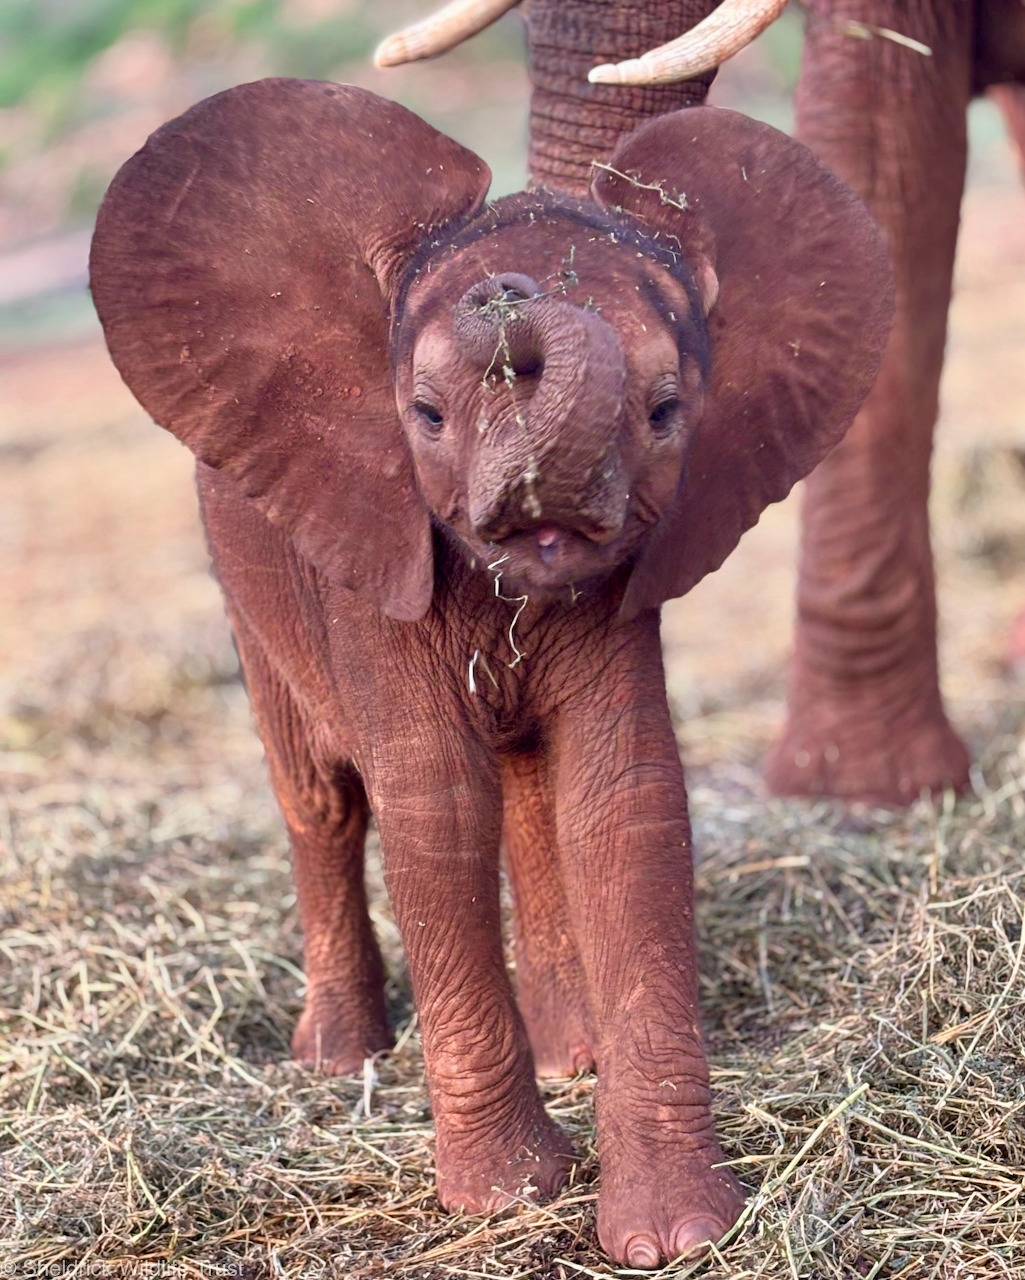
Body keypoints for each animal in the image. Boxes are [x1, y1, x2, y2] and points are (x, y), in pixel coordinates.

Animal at [89, 79, 891, 1265]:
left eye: (666, 410)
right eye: (423, 413)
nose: (502, 295)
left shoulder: (623, 581)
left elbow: (622, 799)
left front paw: (672, 1237)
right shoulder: (373, 553)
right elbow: (433, 799)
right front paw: (508, 1199)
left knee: (524, 785)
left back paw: (571, 1054)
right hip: (246, 582)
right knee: (320, 796)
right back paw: (340, 1060)